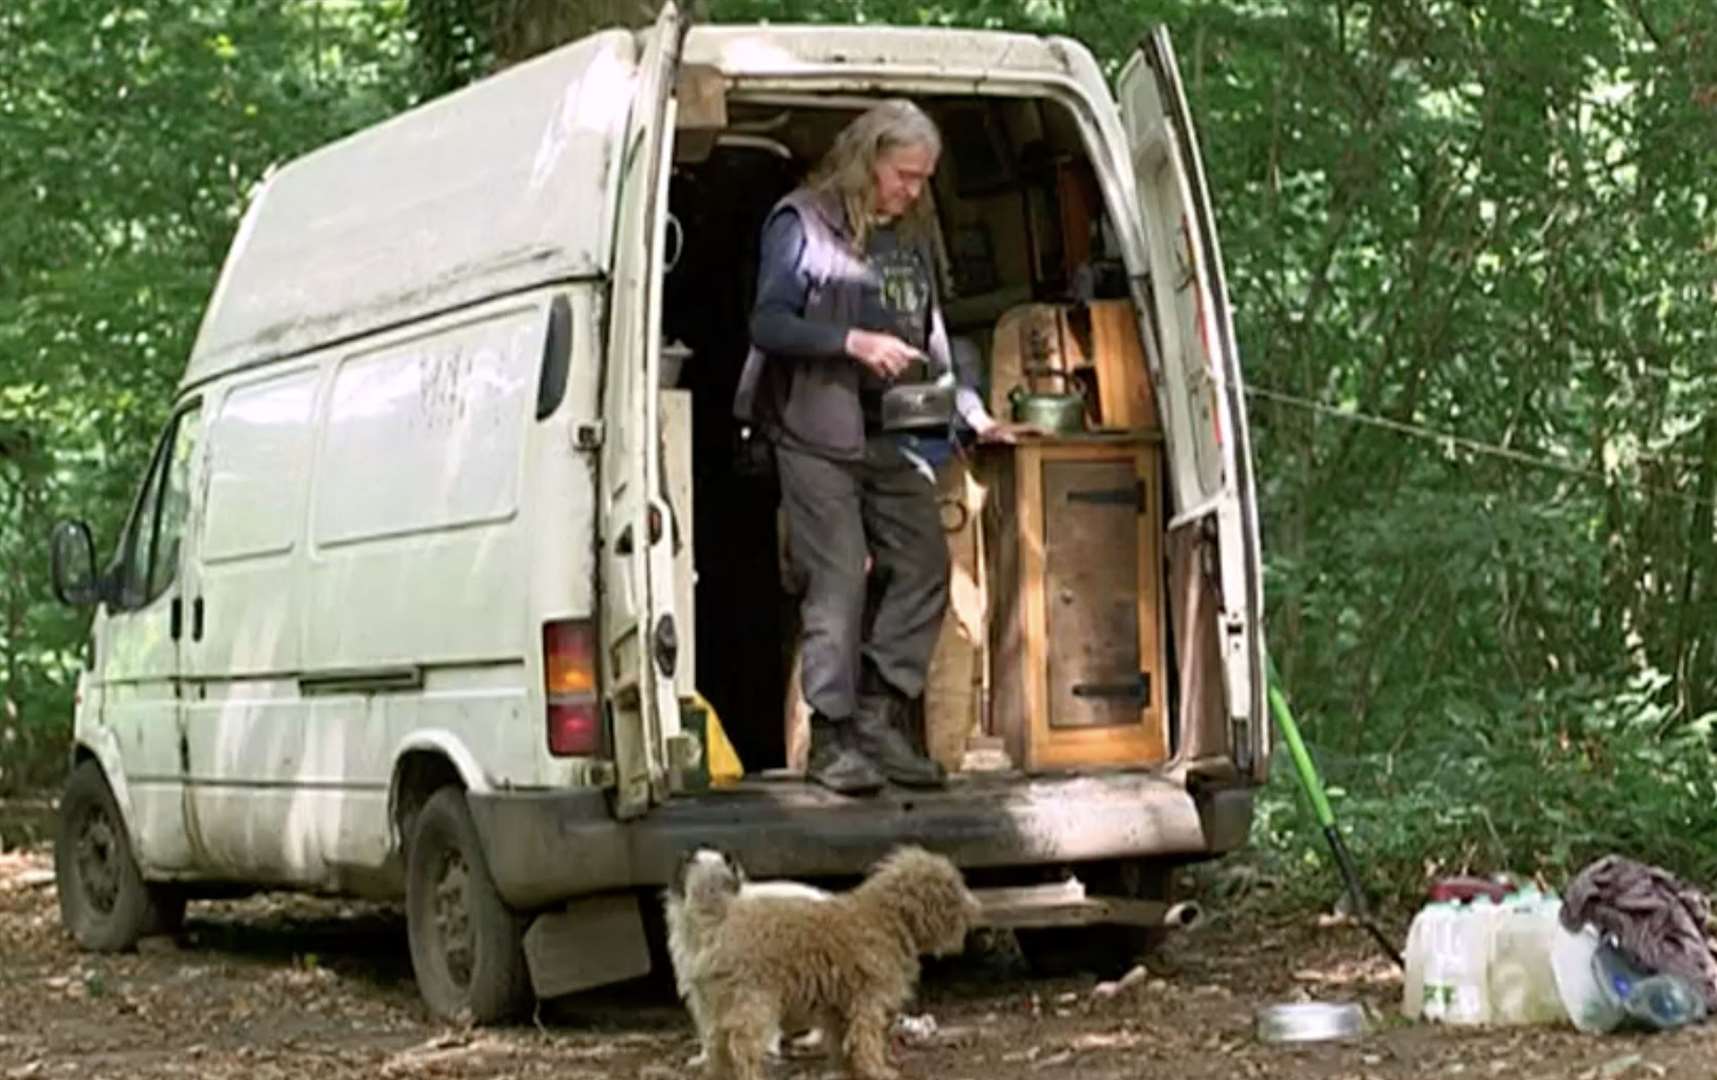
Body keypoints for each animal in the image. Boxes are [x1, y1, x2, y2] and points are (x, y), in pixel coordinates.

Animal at [683, 841, 982, 1078]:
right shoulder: (867, 999)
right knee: (741, 1045)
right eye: (954, 889)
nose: (976, 910)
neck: (887, 917)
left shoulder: (840, 1006)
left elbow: (844, 1041)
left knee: (718, 1047)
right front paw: (877, 1070)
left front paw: (849, 1070)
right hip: (752, 1000)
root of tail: (720, 919)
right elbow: (865, 1037)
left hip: (718, 1006)